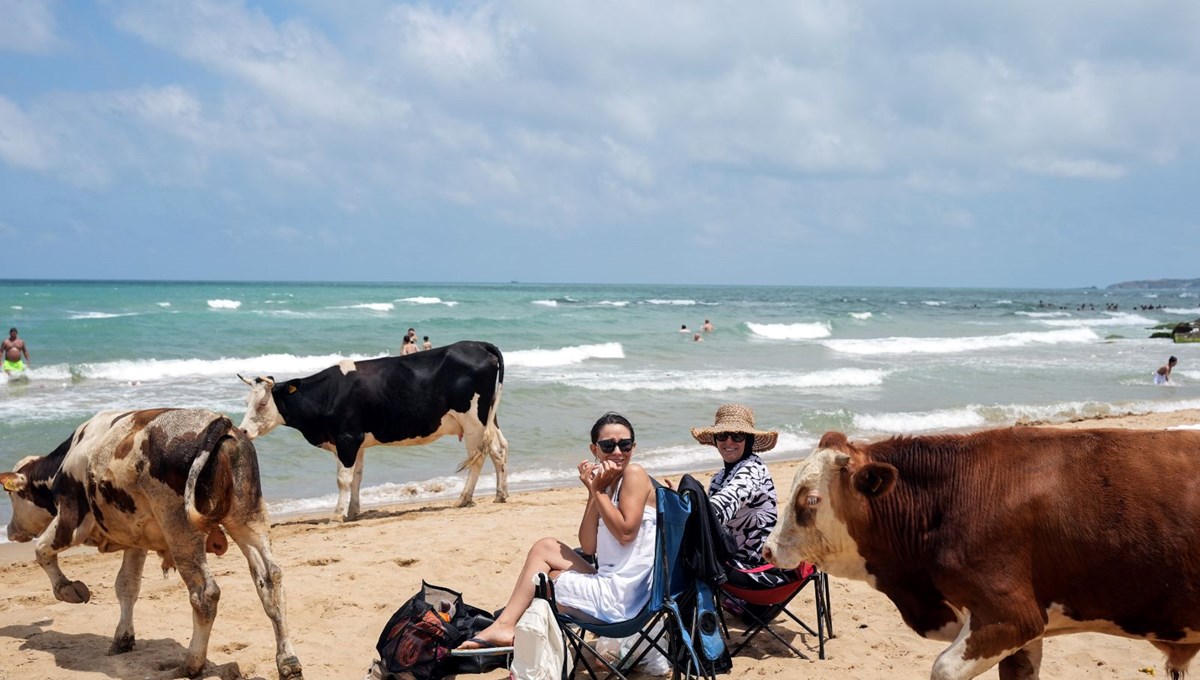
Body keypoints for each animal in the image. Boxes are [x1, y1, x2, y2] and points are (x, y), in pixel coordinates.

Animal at [238, 338, 506, 520]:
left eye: (263, 403)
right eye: (246, 401)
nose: (243, 431)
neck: (328, 394)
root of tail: (478, 344)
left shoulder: (346, 439)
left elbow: (343, 479)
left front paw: (337, 515)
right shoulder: (357, 442)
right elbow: (357, 477)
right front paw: (353, 512)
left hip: (473, 422)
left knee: (479, 458)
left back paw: (464, 498)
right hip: (488, 418)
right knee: (499, 449)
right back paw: (500, 494)